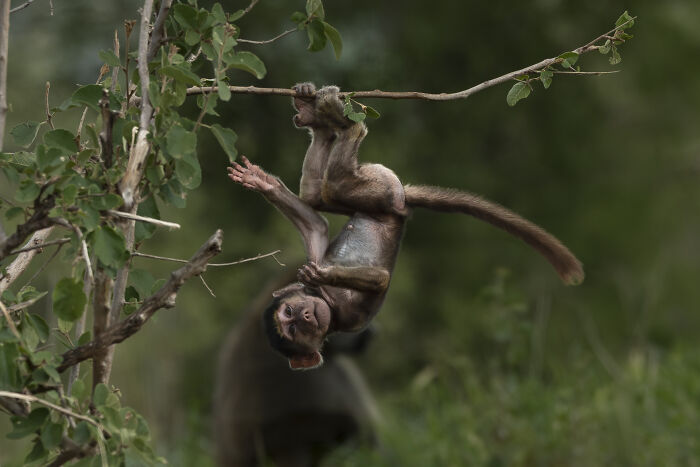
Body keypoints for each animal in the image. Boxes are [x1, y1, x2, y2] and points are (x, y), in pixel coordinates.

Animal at [227, 83, 584, 370]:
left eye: (290, 312)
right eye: (290, 328)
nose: (303, 316)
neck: (325, 302)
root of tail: (402, 203)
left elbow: (321, 232)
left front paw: (264, 185)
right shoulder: (347, 317)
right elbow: (336, 243)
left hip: (377, 185)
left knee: (322, 194)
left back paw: (326, 117)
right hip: (380, 187)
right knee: (324, 192)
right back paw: (336, 124)